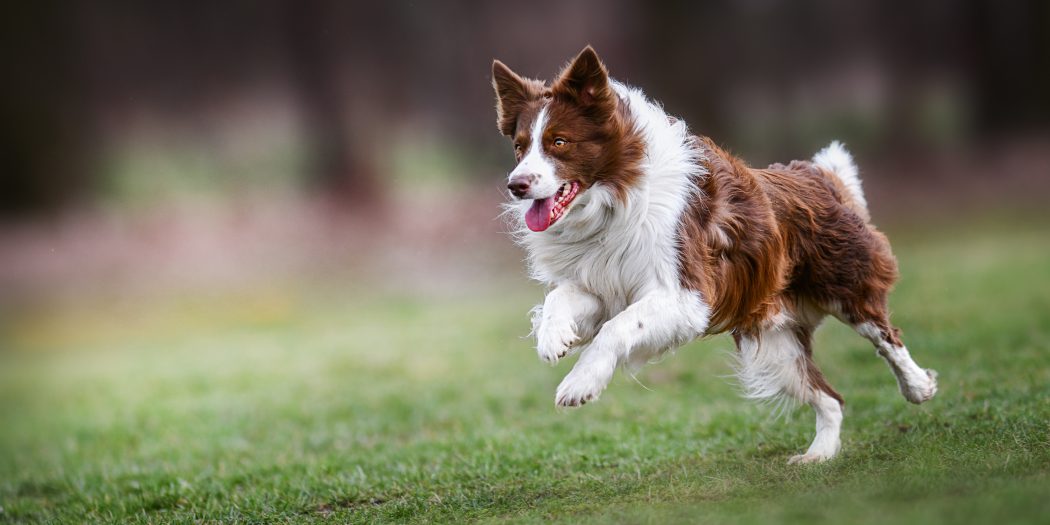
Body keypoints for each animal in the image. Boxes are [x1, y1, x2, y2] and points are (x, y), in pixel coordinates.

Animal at [489, 47, 936, 461]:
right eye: (520, 147)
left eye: (559, 142)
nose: (516, 185)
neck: (614, 197)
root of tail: (817, 175)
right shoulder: (603, 281)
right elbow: (560, 297)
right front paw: (554, 338)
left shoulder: (686, 295)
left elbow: (618, 327)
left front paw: (580, 384)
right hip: (773, 342)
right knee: (829, 397)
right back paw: (819, 455)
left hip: (845, 284)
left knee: (885, 336)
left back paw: (919, 386)